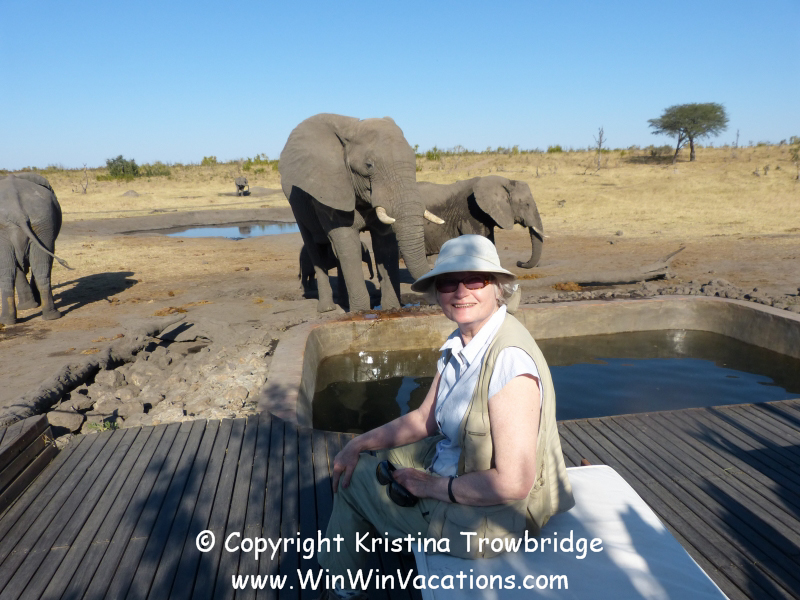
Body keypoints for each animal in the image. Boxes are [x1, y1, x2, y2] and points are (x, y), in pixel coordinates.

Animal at [280, 114, 443, 312]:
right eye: (369, 165)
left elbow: (384, 245)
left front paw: (391, 309)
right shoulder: (330, 191)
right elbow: (347, 243)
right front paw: (361, 312)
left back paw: (344, 302)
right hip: (296, 205)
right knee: (314, 248)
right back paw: (327, 309)